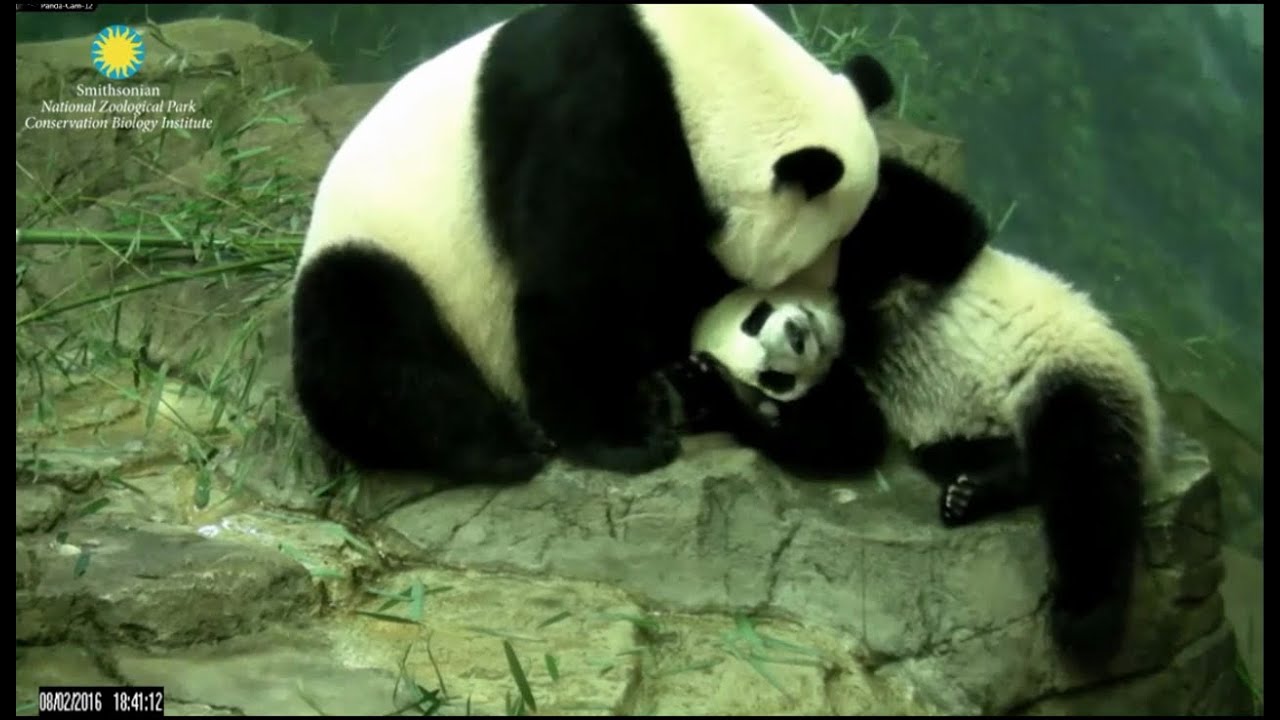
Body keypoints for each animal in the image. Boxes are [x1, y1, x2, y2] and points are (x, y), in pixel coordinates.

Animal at [289, 4, 900, 485]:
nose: (814, 311)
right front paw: (625, 440)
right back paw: (507, 447)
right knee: (368, 337)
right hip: (382, 251)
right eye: (821, 245)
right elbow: (580, 281)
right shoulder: (599, 104)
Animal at [676, 162, 1161, 669]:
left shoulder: (889, 268)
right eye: (773, 378)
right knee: (1048, 471)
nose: (795, 337)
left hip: (1067, 368)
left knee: (1088, 478)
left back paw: (1084, 619)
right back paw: (980, 489)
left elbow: (943, 227)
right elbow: (847, 440)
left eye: (755, 318)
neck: (848, 331)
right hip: (966, 429)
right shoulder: (847, 382)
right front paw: (713, 394)